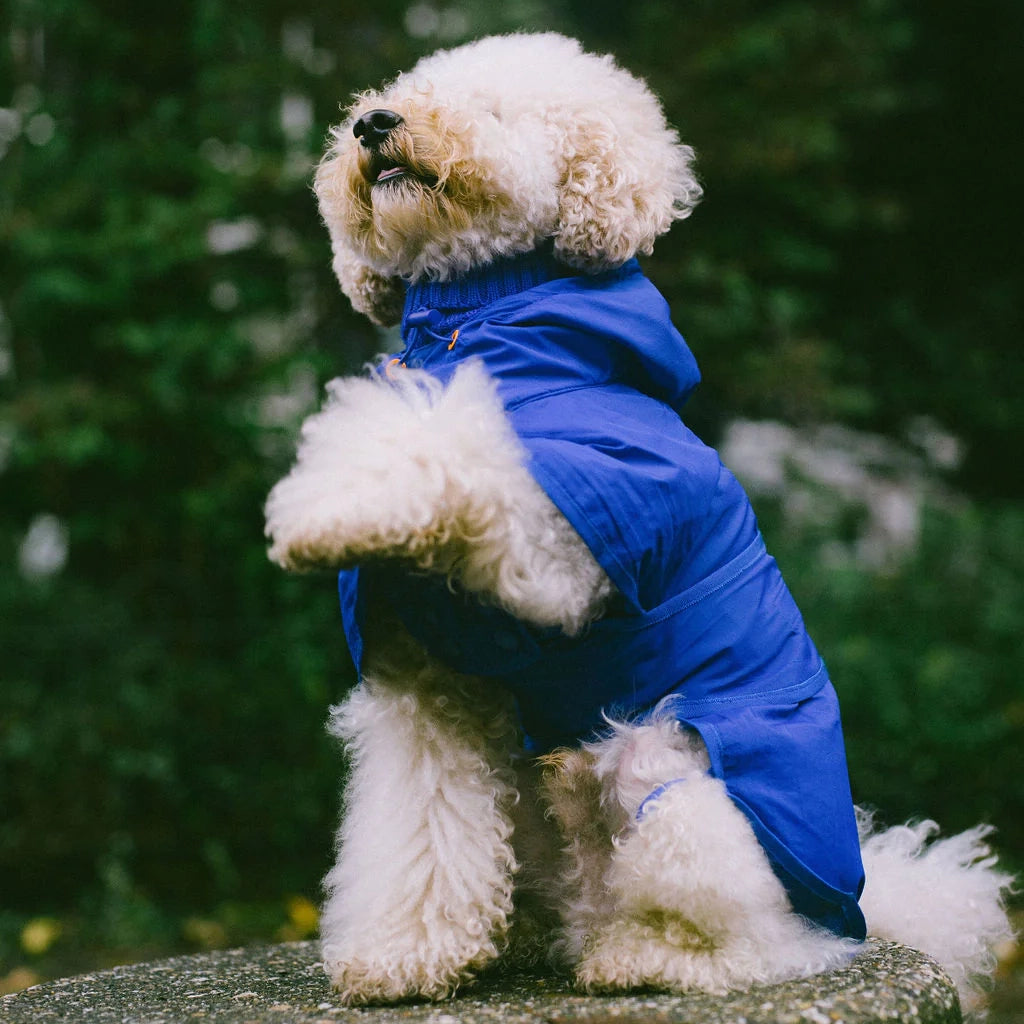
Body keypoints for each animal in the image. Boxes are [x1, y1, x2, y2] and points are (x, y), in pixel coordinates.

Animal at [266, 29, 1015, 1007]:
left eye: (491, 109)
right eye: (410, 87)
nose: (374, 122)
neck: (488, 320)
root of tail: (857, 904)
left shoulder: (562, 552)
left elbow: (463, 445)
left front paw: (333, 500)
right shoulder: (429, 691)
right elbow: (418, 826)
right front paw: (401, 956)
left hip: (670, 773)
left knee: (754, 930)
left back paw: (645, 955)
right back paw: (536, 936)